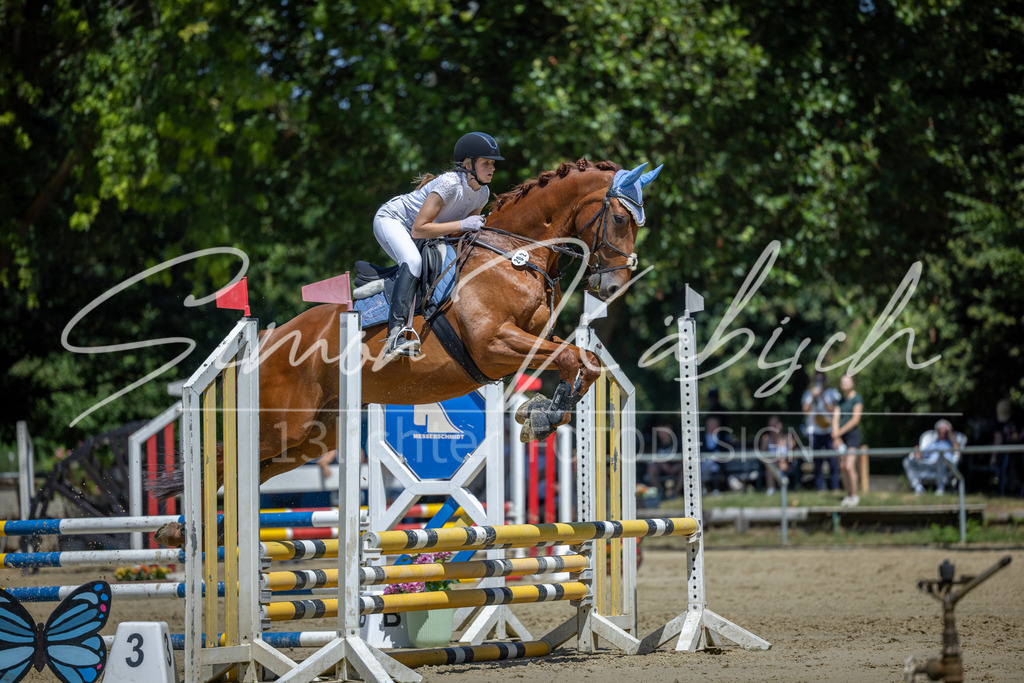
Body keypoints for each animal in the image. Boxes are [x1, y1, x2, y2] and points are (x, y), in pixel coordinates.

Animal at [154, 158, 661, 548]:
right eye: (620, 219)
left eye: (639, 222)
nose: (612, 287)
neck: (513, 255)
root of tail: (265, 344)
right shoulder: (494, 344)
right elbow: (574, 358)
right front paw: (543, 415)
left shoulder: (527, 346)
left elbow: (582, 362)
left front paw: (540, 413)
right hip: (283, 421)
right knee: (224, 458)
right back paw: (178, 532)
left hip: (314, 435)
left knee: (256, 469)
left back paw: (200, 533)